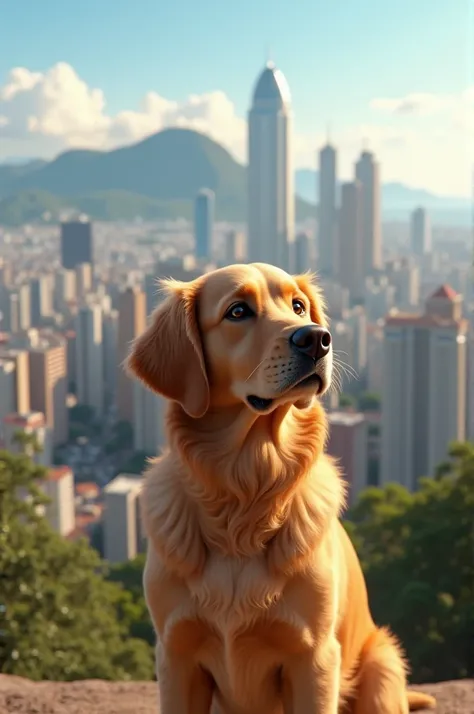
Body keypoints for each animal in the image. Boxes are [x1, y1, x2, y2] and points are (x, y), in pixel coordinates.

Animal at [127, 262, 436, 712]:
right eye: (238, 311)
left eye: (298, 306)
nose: (317, 339)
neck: (246, 487)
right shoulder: (176, 655)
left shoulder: (314, 658)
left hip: (381, 666)